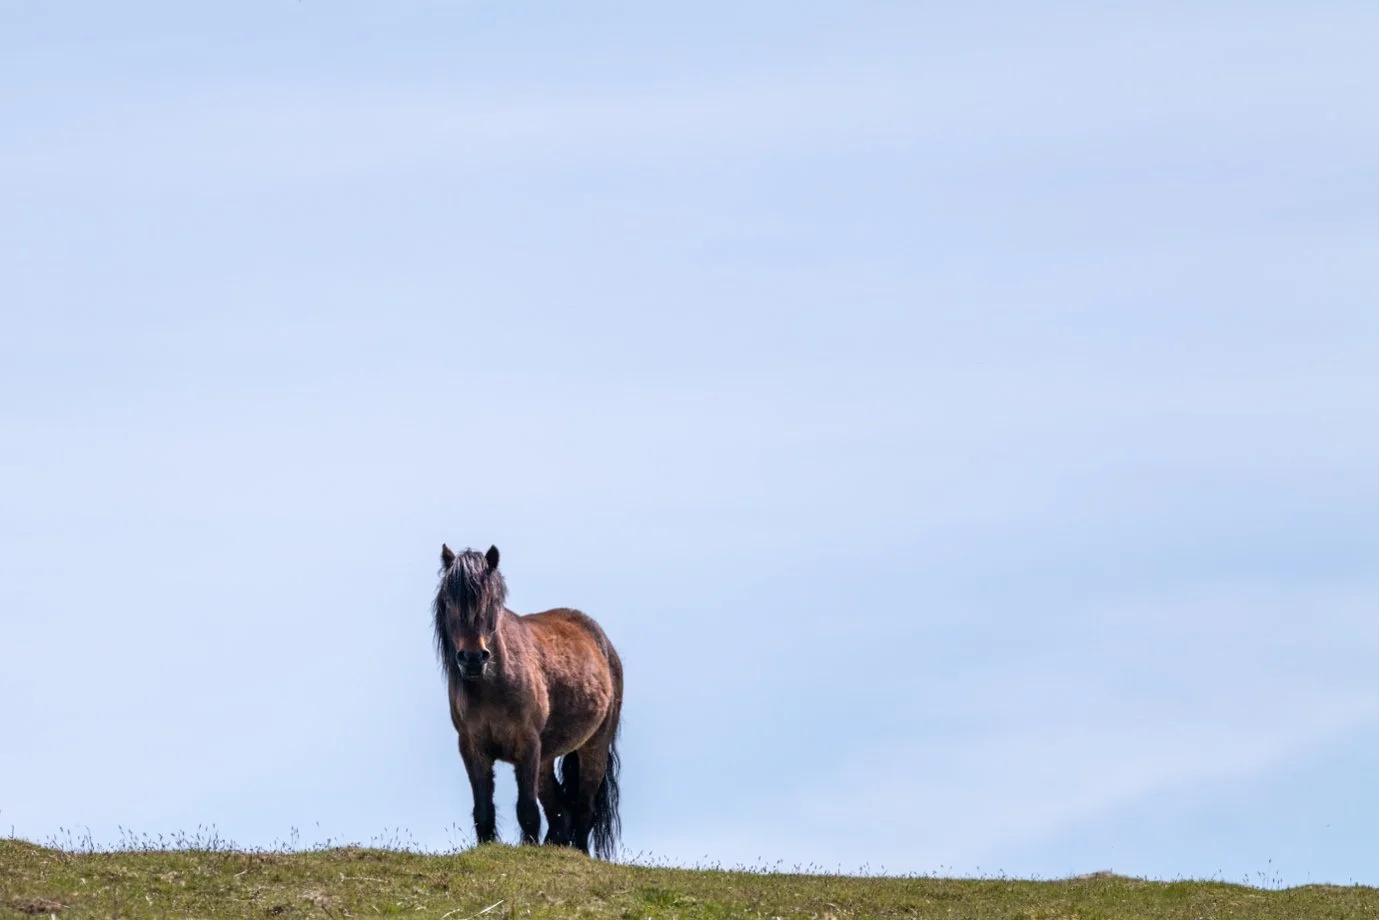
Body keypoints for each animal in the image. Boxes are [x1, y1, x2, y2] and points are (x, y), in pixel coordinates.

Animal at [432, 544, 624, 858]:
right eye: (449, 602)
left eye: (491, 601)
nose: (472, 658)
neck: (493, 685)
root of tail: (603, 643)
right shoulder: (472, 748)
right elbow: (483, 811)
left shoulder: (527, 745)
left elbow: (528, 812)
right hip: (546, 758)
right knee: (562, 814)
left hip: (593, 747)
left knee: (584, 810)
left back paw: (580, 853)